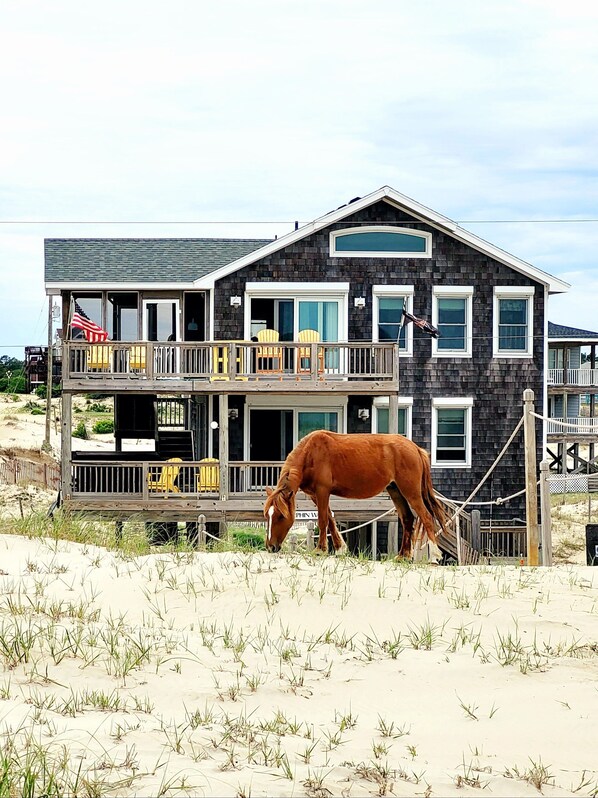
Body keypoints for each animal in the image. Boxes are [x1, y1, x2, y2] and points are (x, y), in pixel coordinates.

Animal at [263, 430, 447, 558]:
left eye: (280, 516)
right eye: (267, 516)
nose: (270, 546)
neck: (311, 453)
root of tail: (416, 448)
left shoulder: (322, 491)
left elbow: (323, 520)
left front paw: (321, 549)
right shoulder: (315, 495)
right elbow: (330, 518)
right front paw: (340, 548)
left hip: (411, 493)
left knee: (426, 517)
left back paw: (434, 555)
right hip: (396, 491)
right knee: (408, 519)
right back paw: (403, 555)